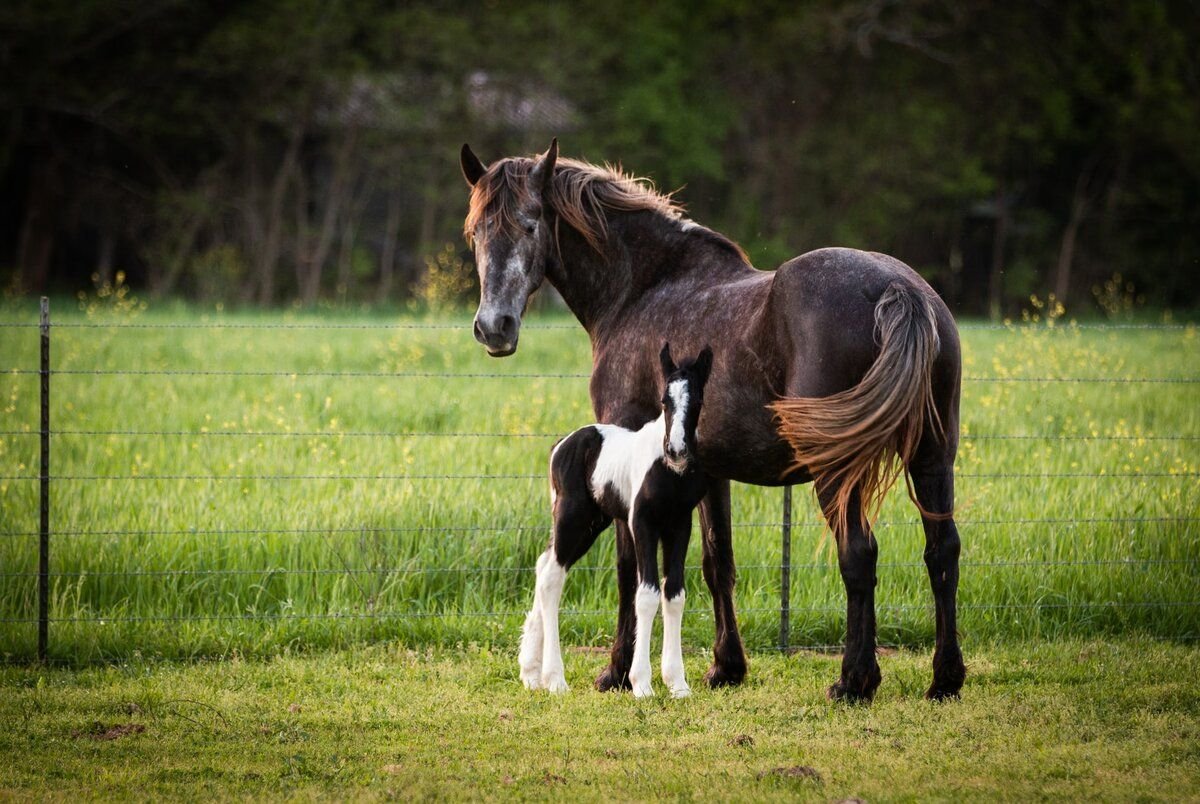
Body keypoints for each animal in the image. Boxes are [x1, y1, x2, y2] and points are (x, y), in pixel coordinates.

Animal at [518, 345, 710, 700]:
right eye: (664, 400)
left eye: (698, 401)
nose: (676, 450)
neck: (668, 472)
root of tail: (560, 445)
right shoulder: (642, 524)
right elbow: (646, 594)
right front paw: (642, 683)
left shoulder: (679, 525)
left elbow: (674, 594)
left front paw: (677, 683)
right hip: (572, 518)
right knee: (552, 575)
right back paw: (555, 679)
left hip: (591, 524)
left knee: (543, 564)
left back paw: (531, 673)